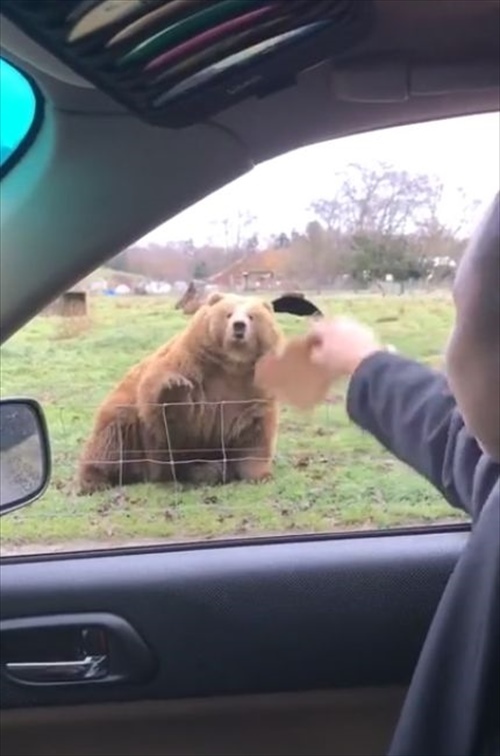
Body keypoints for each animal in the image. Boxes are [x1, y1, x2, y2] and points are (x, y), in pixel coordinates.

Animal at [77, 294, 282, 496]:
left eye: (251, 316)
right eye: (228, 314)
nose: (239, 326)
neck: (231, 366)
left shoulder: (251, 393)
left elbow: (254, 435)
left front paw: (261, 475)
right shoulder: (191, 368)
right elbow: (171, 414)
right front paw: (174, 387)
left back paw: (209, 470)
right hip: (131, 428)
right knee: (112, 440)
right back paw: (94, 481)